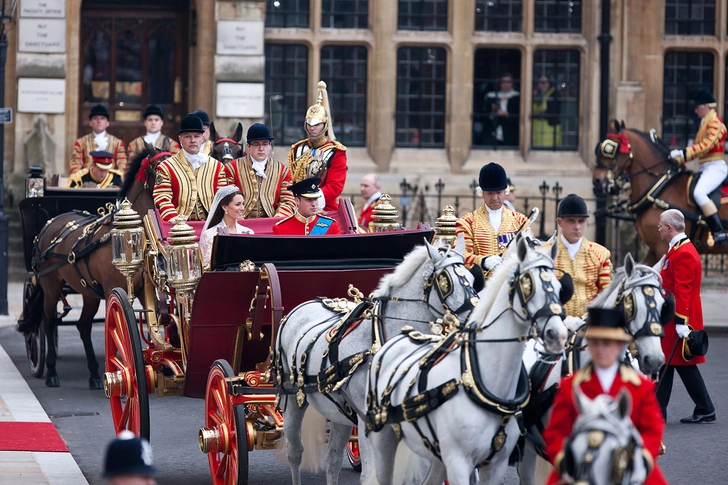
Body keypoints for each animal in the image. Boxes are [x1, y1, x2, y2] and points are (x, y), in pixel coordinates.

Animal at [19, 142, 170, 388]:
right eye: (159, 171)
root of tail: (51, 224)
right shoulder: (112, 290)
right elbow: (118, 327)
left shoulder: (141, 291)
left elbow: (152, 324)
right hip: (50, 285)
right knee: (48, 321)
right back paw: (51, 371)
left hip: (88, 291)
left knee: (83, 325)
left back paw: (93, 374)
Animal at [272, 233, 484, 482]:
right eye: (445, 281)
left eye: (472, 277)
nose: (476, 320)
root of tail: (305, 304)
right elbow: (371, 476)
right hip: (292, 399)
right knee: (295, 453)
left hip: (339, 413)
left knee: (332, 461)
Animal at [366, 233, 564, 484]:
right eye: (528, 285)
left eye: (559, 286)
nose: (558, 335)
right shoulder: (458, 461)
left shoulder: (494, 464)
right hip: (383, 440)